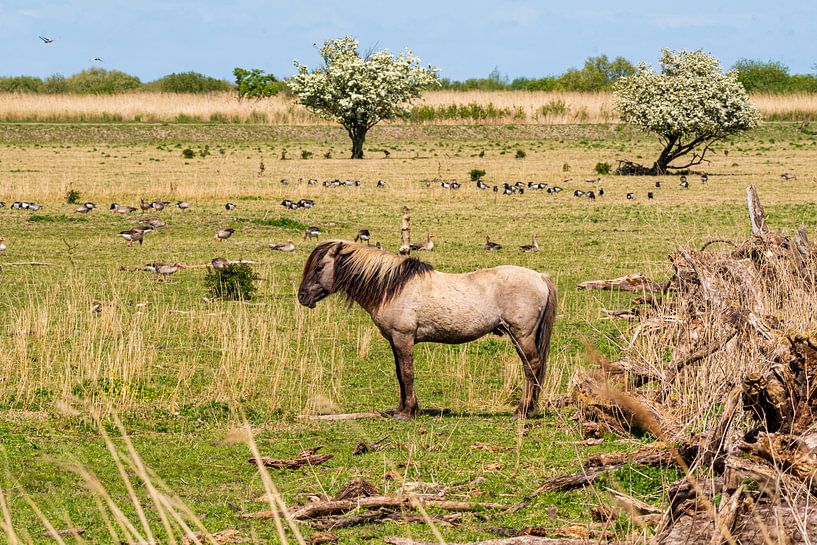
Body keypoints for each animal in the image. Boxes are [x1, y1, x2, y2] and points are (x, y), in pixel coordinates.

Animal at [298, 241, 557, 420]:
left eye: (319, 267)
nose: (302, 296)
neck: (393, 287)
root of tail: (540, 277)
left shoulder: (403, 338)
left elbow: (407, 373)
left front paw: (408, 412)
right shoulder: (394, 340)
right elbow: (399, 374)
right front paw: (402, 408)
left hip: (521, 335)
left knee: (531, 367)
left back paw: (521, 410)